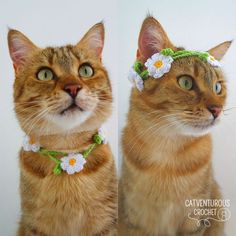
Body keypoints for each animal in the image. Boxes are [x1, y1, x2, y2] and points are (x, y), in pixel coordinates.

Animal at [8, 22, 117, 236]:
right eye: (45, 74)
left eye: (86, 70)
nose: (73, 87)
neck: (68, 151)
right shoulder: (35, 225)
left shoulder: (107, 222)